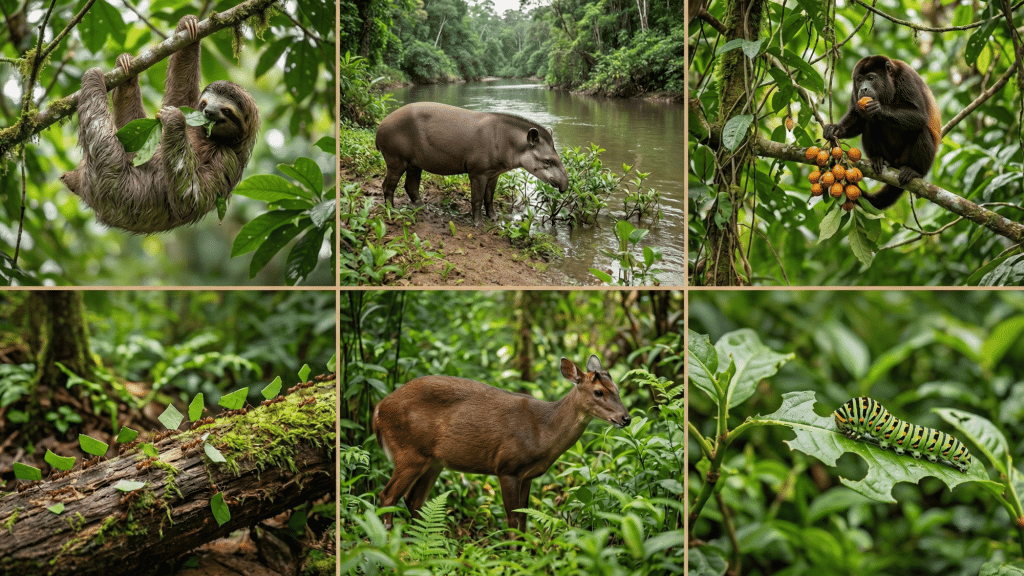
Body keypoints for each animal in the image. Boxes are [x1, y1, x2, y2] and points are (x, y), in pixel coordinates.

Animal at [60, 15, 260, 234]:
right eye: (204, 103)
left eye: (226, 111)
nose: (209, 112)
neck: (209, 137)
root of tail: (78, 182)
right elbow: (179, 92)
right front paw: (188, 27)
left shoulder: (228, 159)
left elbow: (191, 197)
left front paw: (174, 119)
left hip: (107, 179)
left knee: (99, 129)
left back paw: (93, 79)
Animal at [372, 354, 631, 536]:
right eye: (598, 392)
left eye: (617, 389)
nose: (626, 418)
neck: (543, 431)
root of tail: (378, 409)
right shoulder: (507, 467)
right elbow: (513, 520)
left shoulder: (527, 475)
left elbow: (524, 518)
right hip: (410, 451)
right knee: (387, 496)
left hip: (433, 461)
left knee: (414, 501)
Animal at [822, 55, 941, 209]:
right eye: (859, 80)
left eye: (871, 78)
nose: (863, 89)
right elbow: (858, 117)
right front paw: (836, 128)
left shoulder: (907, 77)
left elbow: (919, 115)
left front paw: (879, 109)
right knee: (870, 123)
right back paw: (878, 159)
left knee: (921, 130)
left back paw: (914, 171)